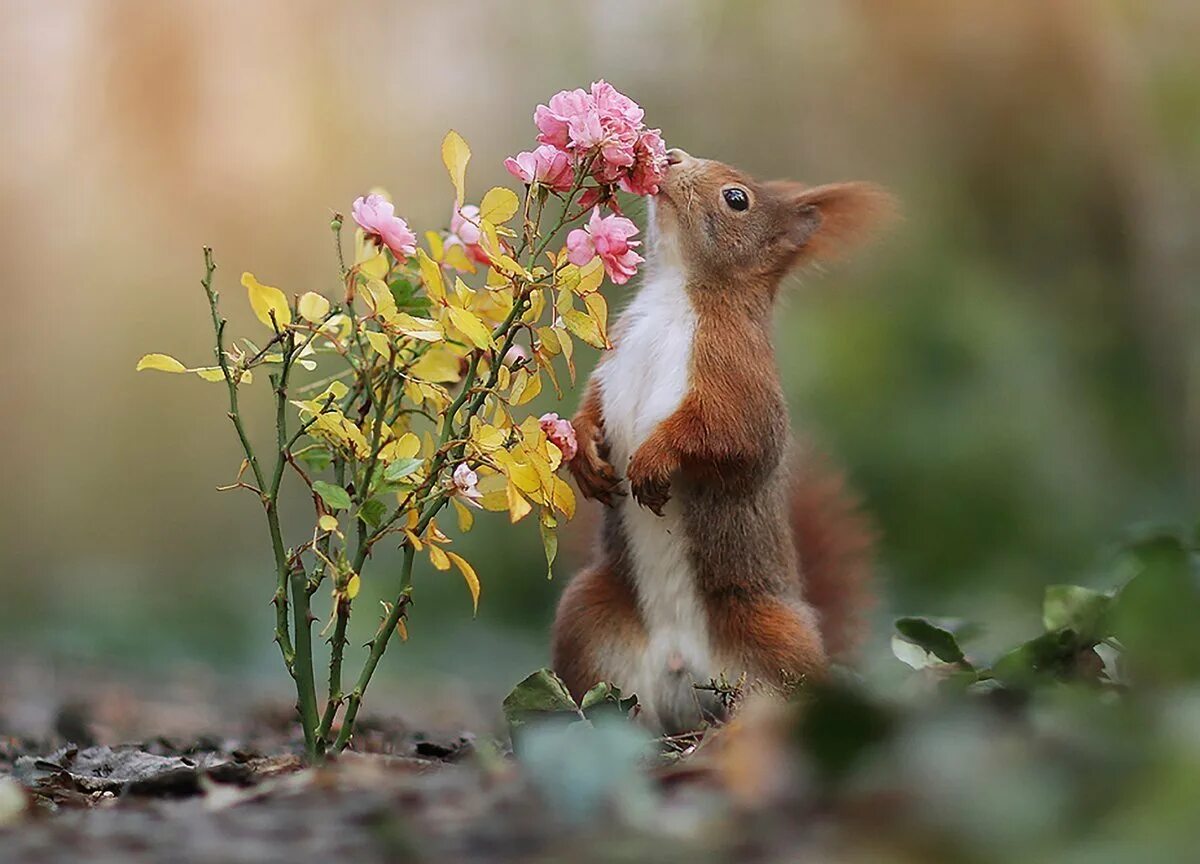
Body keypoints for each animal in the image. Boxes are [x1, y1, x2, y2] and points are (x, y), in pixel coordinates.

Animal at [552, 150, 892, 734]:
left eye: (737, 199)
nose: (670, 156)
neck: (674, 297)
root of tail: (681, 667)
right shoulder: (614, 358)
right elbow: (591, 409)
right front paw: (584, 457)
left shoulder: (737, 376)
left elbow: (730, 437)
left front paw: (654, 458)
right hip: (588, 622)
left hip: (775, 641)